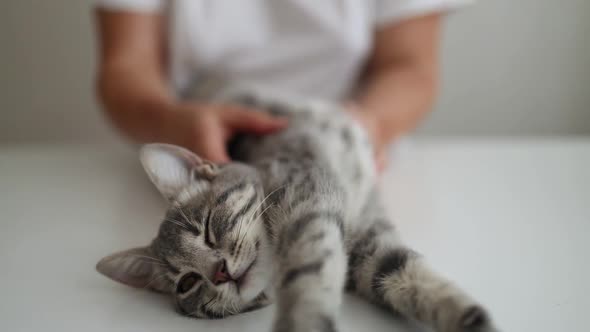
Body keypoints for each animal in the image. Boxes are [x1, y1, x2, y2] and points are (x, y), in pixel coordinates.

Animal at [96, 85, 500, 332]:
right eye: (187, 283)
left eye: (208, 228)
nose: (220, 273)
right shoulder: (351, 243)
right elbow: (386, 273)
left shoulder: (320, 210)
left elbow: (397, 272)